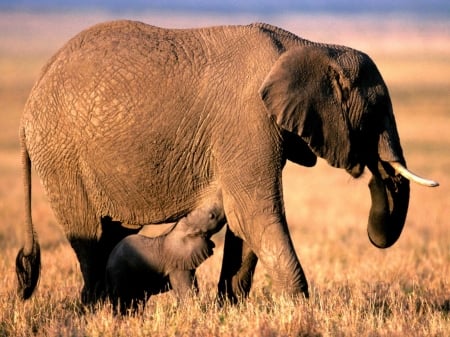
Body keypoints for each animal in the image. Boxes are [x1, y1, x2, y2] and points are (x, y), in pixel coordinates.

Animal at [15, 21, 438, 304]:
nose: (375, 170)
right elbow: (254, 213)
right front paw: (303, 310)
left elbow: (245, 221)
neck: (307, 46)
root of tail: (31, 98)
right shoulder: (247, 120)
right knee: (90, 236)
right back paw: (98, 309)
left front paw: (230, 307)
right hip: (62, 154)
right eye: (376, 111)